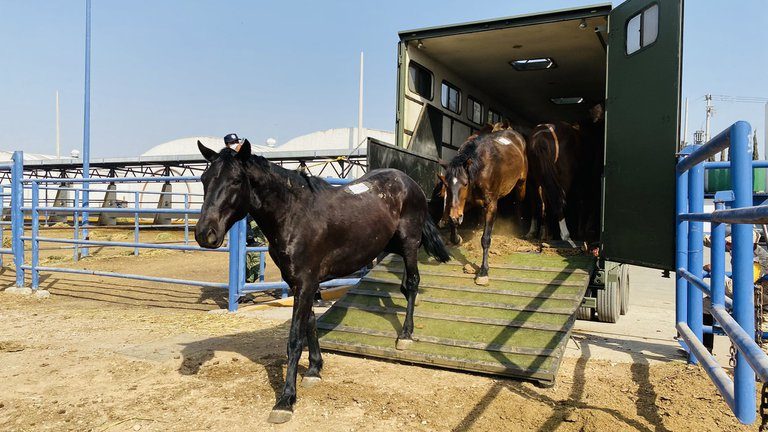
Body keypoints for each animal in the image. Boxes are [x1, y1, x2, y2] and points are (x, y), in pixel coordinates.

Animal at [194, 140, 450, 424]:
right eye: (204, 178)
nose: (205, 234)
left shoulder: (305, 282)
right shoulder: (300, 282)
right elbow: (310, 323)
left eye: (237, 180)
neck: (294, 214)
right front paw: (315, 369)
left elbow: (295, 339)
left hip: (409, 244)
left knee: (413, 283)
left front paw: (286, 400)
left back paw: (405, 334)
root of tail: (409, 182)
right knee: (405, 284)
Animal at [439, 123, 528, 285]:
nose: (455, 215)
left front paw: (483, 271)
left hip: (521, 182)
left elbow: (486, 239)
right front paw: (457, 238)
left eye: (465, 183)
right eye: (446, 185)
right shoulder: (467, 202)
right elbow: (454, 223)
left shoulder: (491, 204)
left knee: (519, 202)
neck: (480, 169)